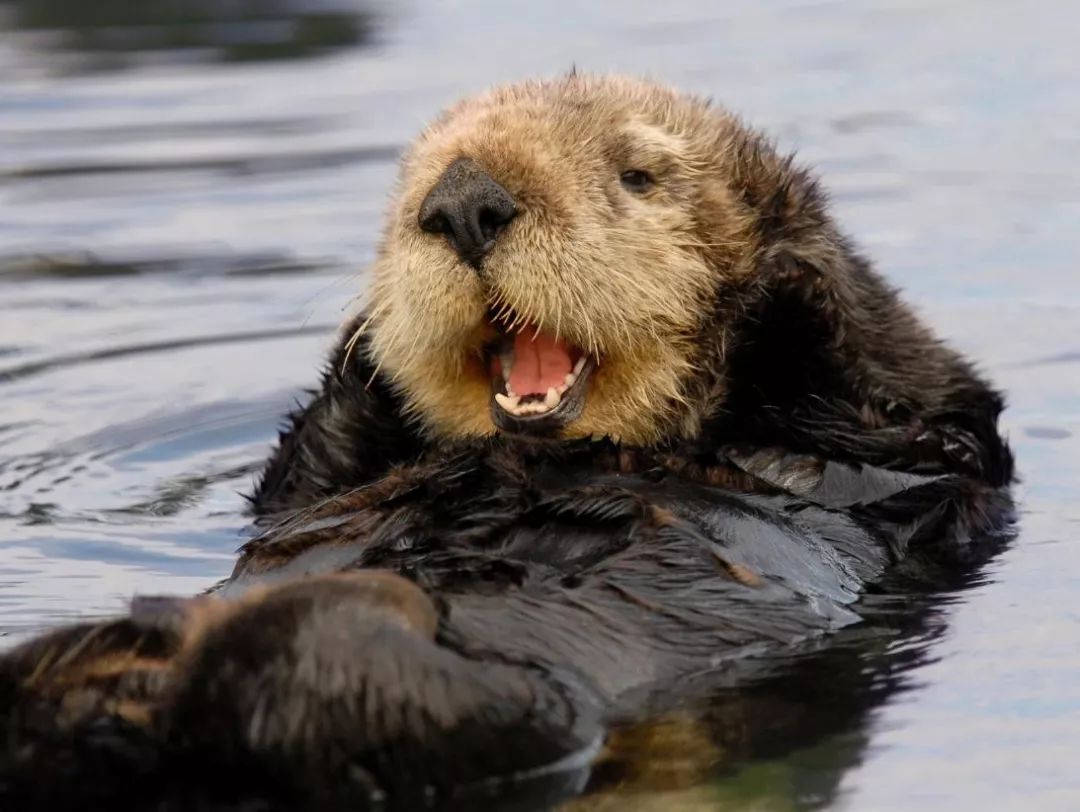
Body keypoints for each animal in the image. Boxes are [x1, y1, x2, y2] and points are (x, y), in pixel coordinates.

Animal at [0, 76, 1010, 812]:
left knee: (302, 674)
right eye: (416, 180)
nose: (462, 202)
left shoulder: (918, 444)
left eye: (639, 176)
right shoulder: (305, 487)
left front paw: (774, 280)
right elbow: (295, 481)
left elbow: (902, 423)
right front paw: (369, 345)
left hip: (466, 706)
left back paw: (211, 625)